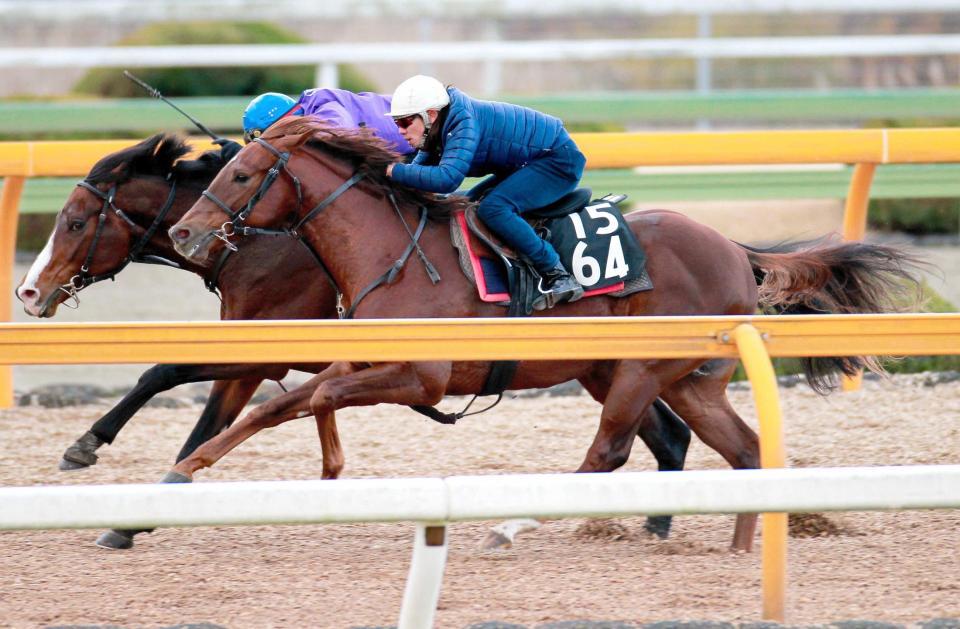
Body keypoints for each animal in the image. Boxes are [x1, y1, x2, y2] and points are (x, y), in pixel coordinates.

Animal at [15, 135, 688, 548]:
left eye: (74, 221)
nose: (27, 291)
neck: (261, 244)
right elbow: (212, 415)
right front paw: (135, 512)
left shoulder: (268, 347)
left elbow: (167, 376)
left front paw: (91, 453)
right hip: (601, 364)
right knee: (666, 435)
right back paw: (655, 520)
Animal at [169, 116, 928, 548]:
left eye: (241, 172)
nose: (182, 231)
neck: (394, 250)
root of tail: (735, 248)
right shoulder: (361, 361)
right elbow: (278, 405)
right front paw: (185, 468)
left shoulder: (421, 376)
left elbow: (316, 399)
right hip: (688, 379)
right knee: (744, 449)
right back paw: (743, 546)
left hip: (642, 370)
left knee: (609, 451)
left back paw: (510, 527)